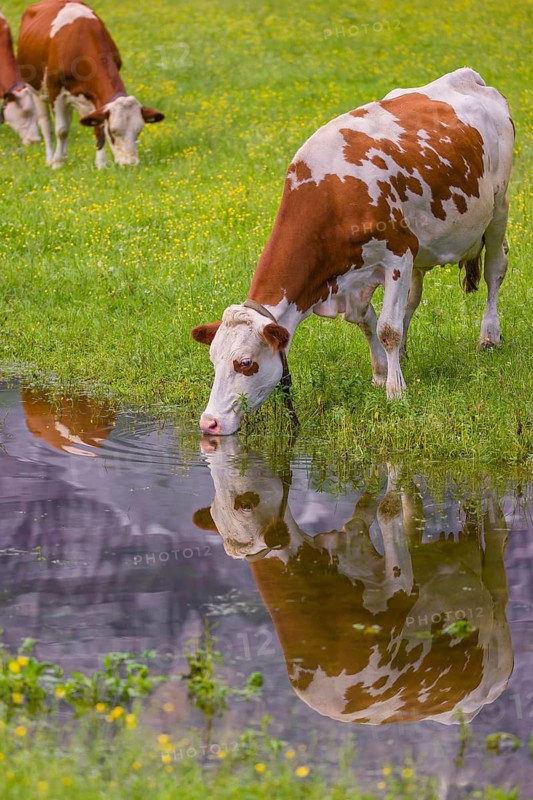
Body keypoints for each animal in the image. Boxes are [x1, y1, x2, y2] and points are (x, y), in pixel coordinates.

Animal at [17, 0, 164, 168]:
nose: (130, 164)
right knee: (46, 124)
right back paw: (50, 159)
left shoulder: (95, 96)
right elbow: (61, 130)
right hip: (35, 90)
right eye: (113, 131)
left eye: (138, 131)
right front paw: (57, 163)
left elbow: (97, 127)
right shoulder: (56, 92)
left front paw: (101, 164)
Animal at [192, 69, 514, 435]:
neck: (334, 193)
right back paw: (405, 355)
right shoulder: (356, 277)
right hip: (425, 243)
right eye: (213, 360)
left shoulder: (398, 254)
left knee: (494, 270)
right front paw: (382, 372)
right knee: (413, 298)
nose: (209, 422)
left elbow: (388, 328)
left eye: (245, 362)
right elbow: (368, 321)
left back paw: (489, 335)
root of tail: (467, 77)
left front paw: (395, 390)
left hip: (498, 207)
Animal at [193, 438, 513, 724]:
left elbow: (386, 510)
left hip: (496, 619)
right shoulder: (355, 538)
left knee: (497, 527)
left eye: (246, 503)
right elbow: (370, 504)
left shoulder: (398, 585)